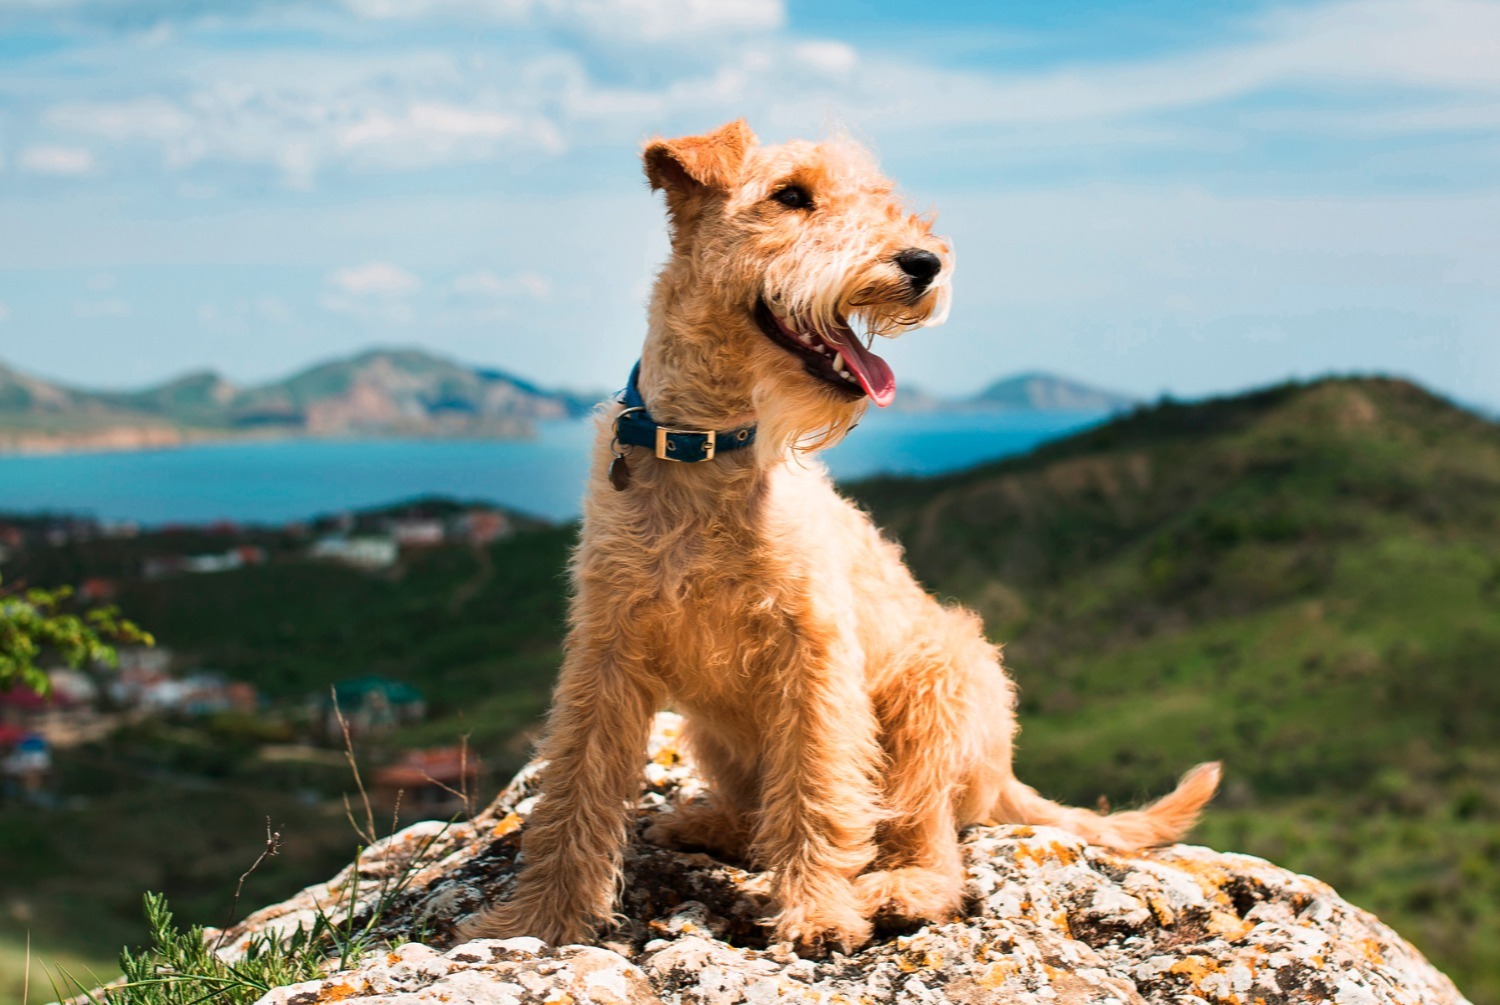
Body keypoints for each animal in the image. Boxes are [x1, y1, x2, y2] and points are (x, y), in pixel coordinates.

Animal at [465, 122, 1218, 954]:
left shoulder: (814, 654)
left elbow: (816, 788)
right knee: (759, 811)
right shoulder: (606, 652)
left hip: (938, 695)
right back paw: (705, 821)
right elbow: (573, 792)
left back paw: (900, 889)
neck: (709, 447)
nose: (924, 263)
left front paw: (820, 911)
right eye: (790, 195)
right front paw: (537, 919)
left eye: (880, 199)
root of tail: (1003, 771)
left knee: (931, 842)